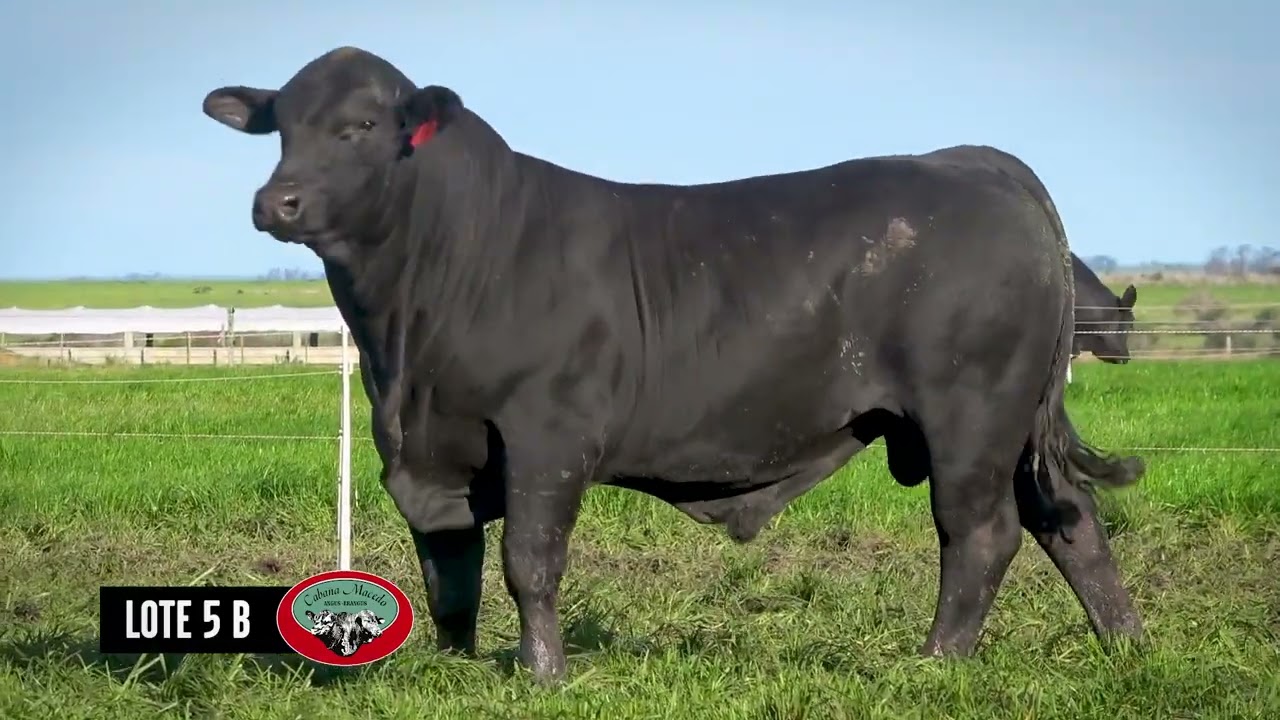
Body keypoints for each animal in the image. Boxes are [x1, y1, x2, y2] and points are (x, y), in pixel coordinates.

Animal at [202, 46, 1147, 685]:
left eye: (360, 126)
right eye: (281, 128)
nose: (277, 201)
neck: (410, 329)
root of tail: (974, 162)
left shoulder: (548, 435)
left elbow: (528, 560)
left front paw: (543, 673)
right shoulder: (421, 448)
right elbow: (448, 569)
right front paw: (450, 668)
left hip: (970, 418)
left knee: (981, 533)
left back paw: (938, 662)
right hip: (1012, 426)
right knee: (1071, 520)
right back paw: (1126, 646)